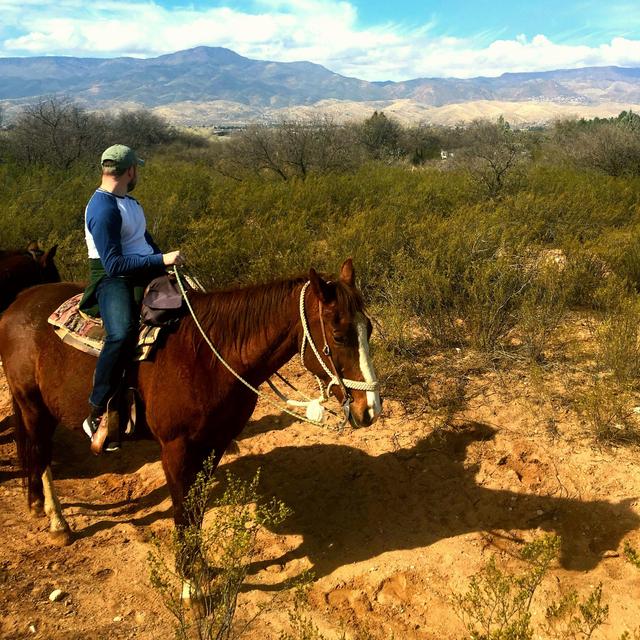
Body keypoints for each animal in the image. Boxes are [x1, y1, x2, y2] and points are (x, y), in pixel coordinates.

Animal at [0, 259, 382, 567]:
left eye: (369, 327)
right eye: (338, 335)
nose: (370, 409)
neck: (210, 357)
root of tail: (17, 303)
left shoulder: (214, 443)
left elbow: (195, 512)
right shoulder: (176, 448)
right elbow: (184, 515)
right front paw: (192, 589)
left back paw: (36, 503)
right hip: (32, 404)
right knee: (41, 452)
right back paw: (57, 523)